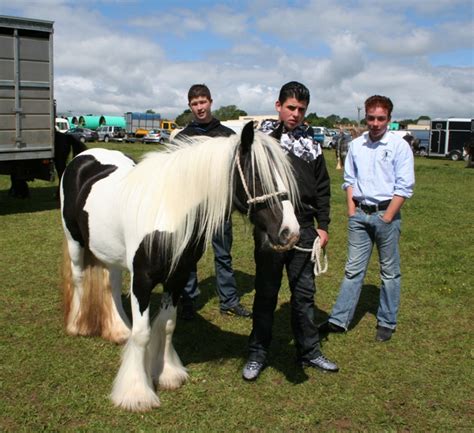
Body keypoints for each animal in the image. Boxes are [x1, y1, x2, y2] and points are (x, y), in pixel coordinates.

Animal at [60, 120, 300, 410]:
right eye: (256, 175)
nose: (290, 233)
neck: (167, 213)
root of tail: (84, 155)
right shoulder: (142, 280)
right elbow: (143, 333)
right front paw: (136, 393)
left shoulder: (177, 277)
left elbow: (167, 324)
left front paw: (167, 374)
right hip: (74, 241)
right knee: (79, 278)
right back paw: (77, 326)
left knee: (111, 283)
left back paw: (119, 330)